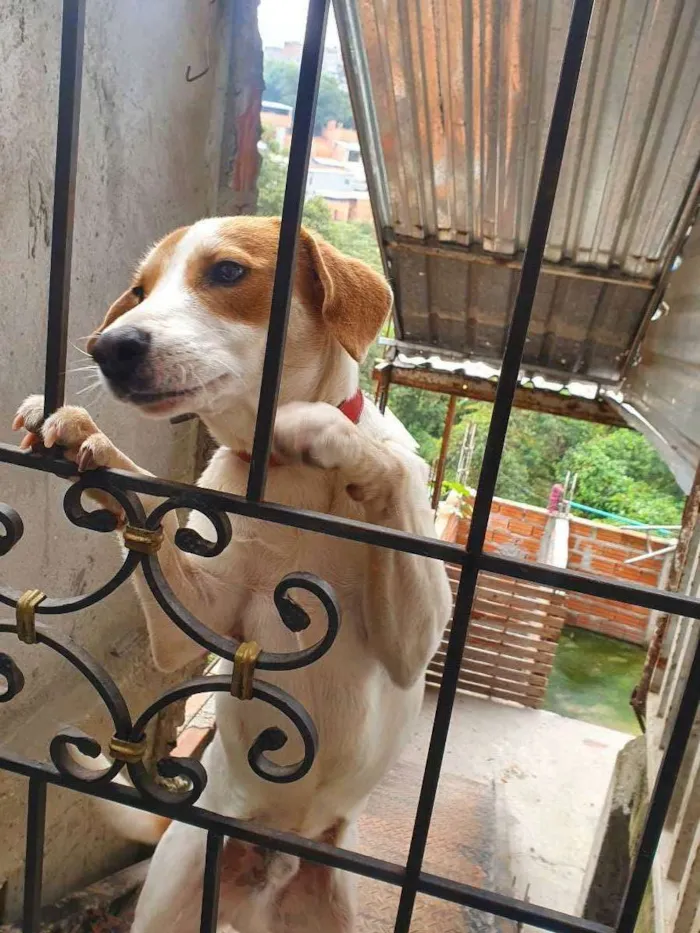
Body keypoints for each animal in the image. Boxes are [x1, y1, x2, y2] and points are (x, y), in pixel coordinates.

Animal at [13, 218, 452, 932]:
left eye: (226, 272)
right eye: (140, 290)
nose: (110, 347)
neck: (281, 478)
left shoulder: (412, 647)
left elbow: (379, 464)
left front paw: (324, 431)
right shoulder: (193, 627)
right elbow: (145, 510)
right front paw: (87, 436)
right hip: (172, 891)